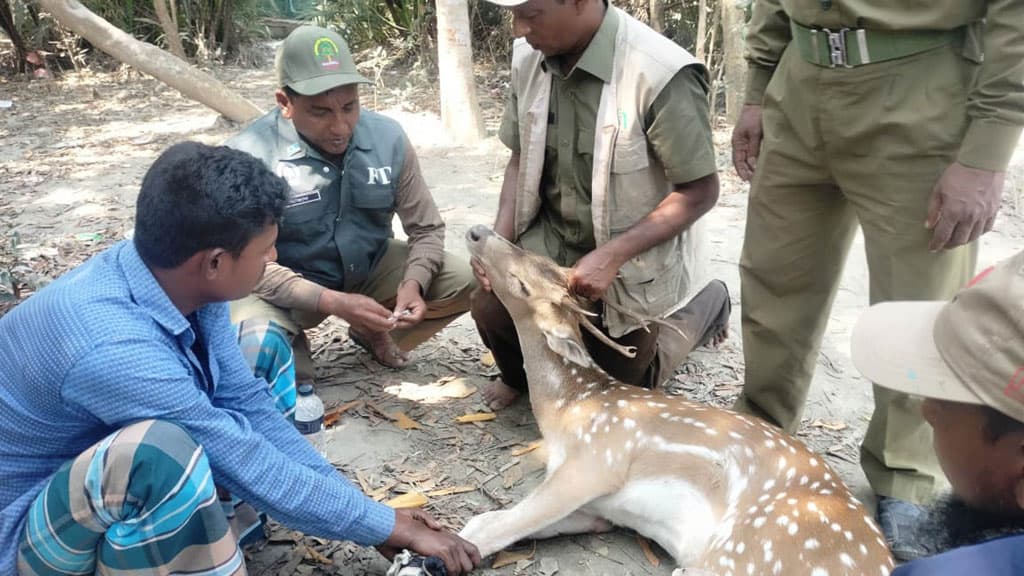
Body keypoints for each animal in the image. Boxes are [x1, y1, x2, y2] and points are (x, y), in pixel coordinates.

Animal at [460, 226, 892, 573]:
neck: (569, 410)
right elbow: (487, 521)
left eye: (522, 283)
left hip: (749, 551)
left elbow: (486, 529)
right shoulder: (596, 506)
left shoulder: (597, 460)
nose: (478, 231)